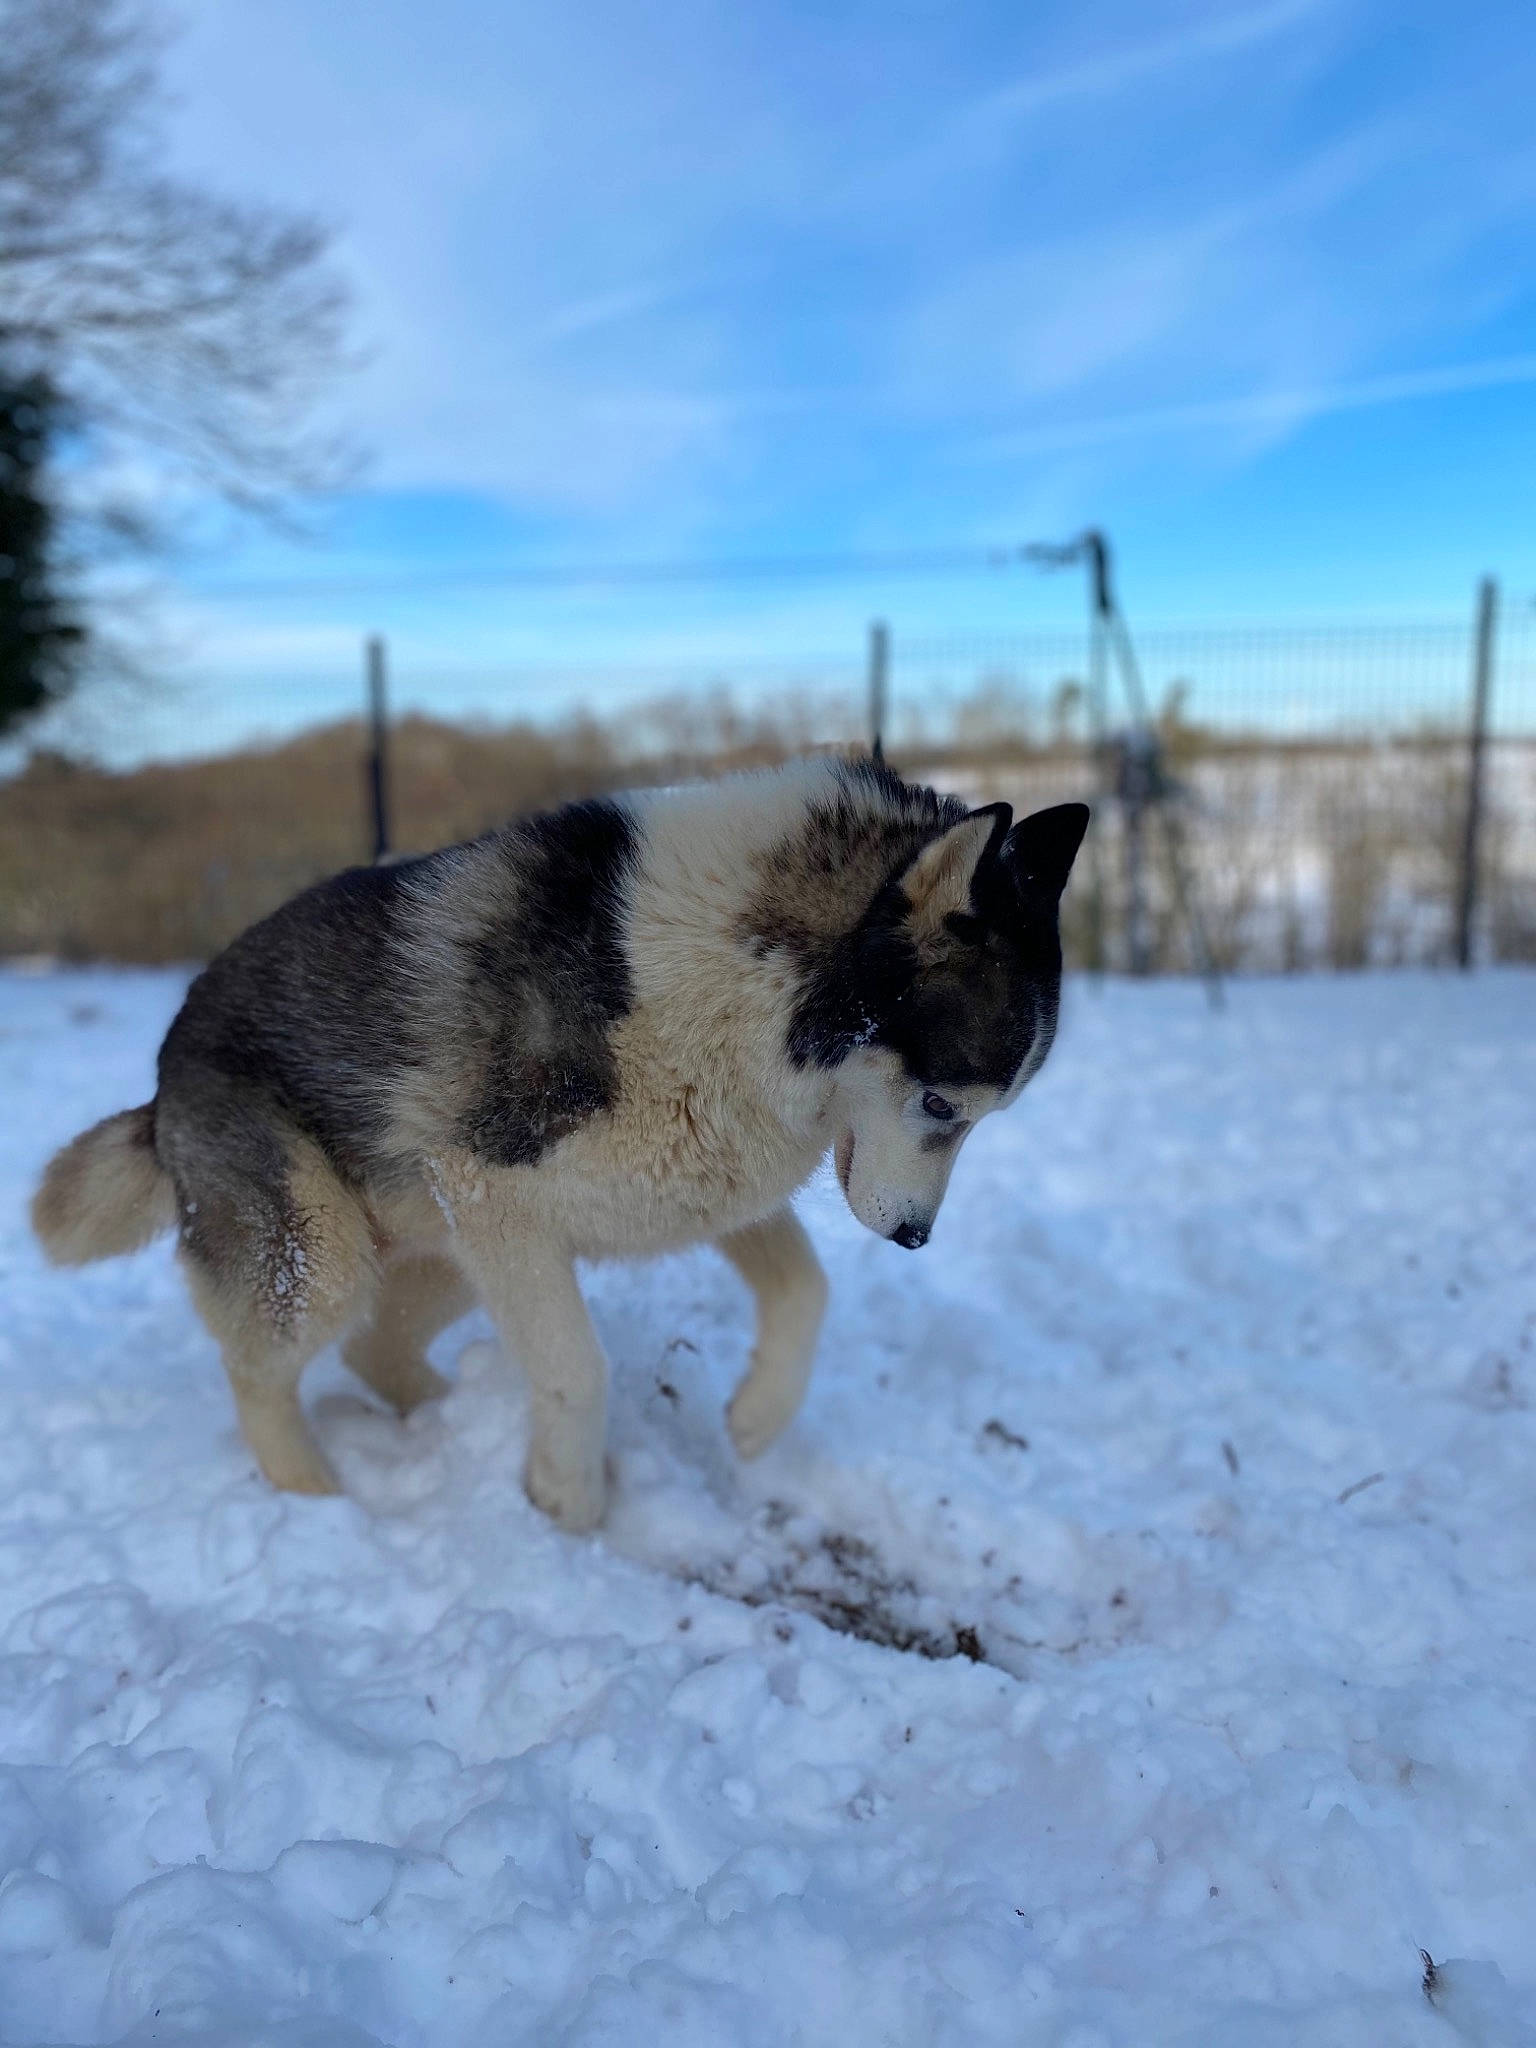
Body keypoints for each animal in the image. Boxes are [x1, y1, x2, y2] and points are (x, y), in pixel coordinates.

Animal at [33, 756, 1087, 1530]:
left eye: (984, 1115)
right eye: (944, 1105)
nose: (914, 1238)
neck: (744, 980)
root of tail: (163, 1069)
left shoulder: (693, 1187)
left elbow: (805, 1290)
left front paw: (753, 1422)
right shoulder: (495, 1190)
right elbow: (579, 1370)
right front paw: (570, 1511)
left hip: (443, 1250)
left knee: (375, 1348)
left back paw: (454, 1418)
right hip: (328, 1251)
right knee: (261, 1370)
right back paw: (319, 1500)